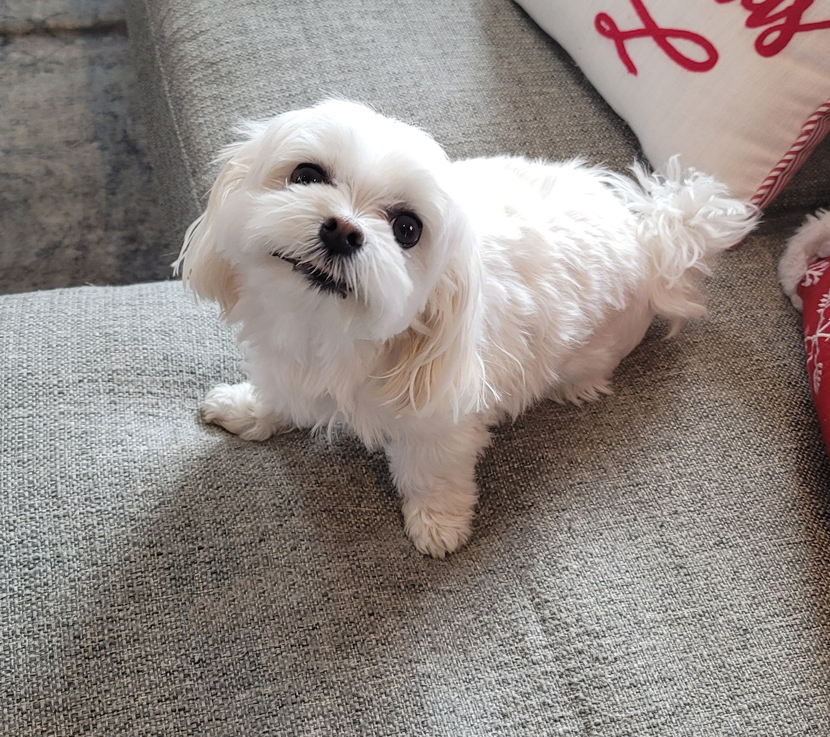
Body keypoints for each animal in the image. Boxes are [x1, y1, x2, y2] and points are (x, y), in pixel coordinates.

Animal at [175, 99, 758, 557]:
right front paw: (246, 409)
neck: (323, 329)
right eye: (305, 175)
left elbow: (431, 472)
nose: (342, 230)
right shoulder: (285, 360)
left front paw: (437, 523)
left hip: (593, 349)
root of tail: (649, 234)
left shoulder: (441, 420)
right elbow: (276, 395)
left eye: (407, 229)